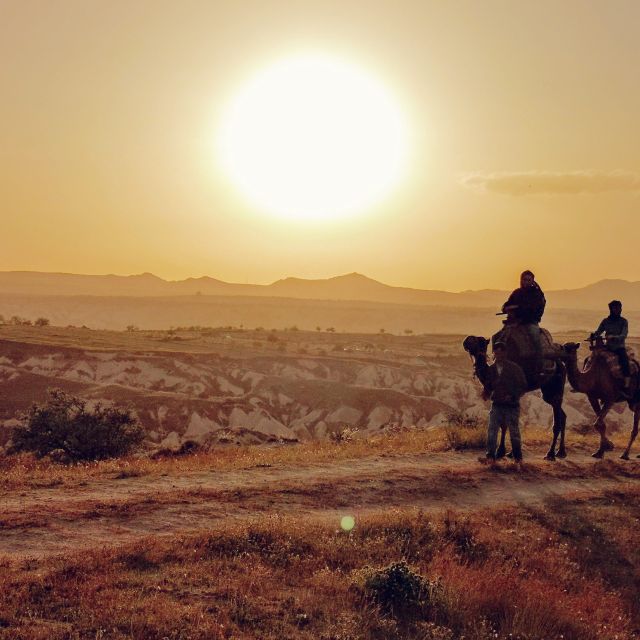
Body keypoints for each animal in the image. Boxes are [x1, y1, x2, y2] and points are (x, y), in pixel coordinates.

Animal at [462, 330, 568, 460]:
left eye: (481, 341)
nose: (467, 340)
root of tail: (561, 365)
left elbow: (506, 423)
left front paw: (501, 451)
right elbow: (506, 423)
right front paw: (508, 452)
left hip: (555, 388)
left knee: (557, 420)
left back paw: (551, 453)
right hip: (549, 393)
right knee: (563, 415)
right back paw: (561, 452)